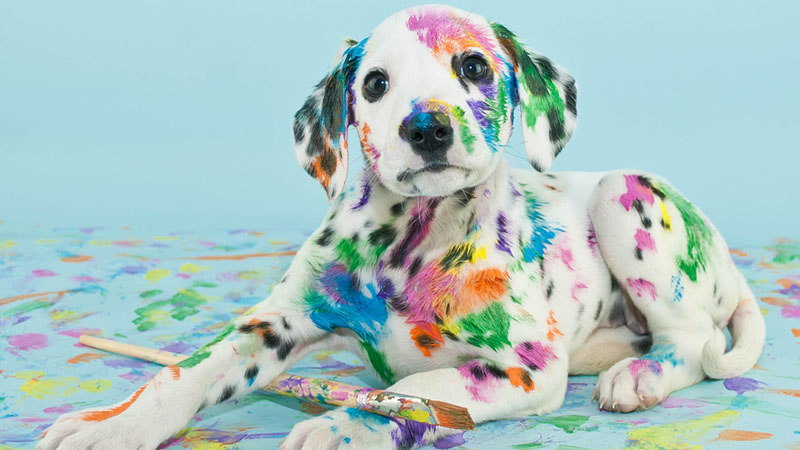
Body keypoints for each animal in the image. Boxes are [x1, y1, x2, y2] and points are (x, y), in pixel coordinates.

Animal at [37, 4, 764, 450]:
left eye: (473, 67)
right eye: (376, 84)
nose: (427, 128)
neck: (412, 243)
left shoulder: (523, 371)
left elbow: (414, 391)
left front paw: (343, 427)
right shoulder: (275, 323)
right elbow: (186, 373)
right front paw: (113, 425)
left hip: (623, 196)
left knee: (692, 344)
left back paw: (639, 376)